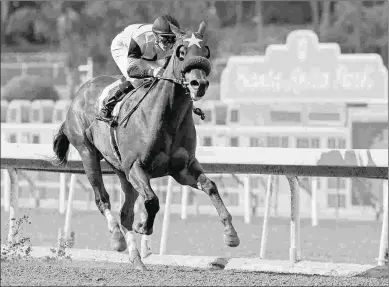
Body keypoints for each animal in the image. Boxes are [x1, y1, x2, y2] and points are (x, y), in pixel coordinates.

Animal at [51, 21, 239, 272]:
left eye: (206, 51)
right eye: (181, 52)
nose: (198, 84)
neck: (165, 116)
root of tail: (77, 96)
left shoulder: (182, 169)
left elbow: (211, 186)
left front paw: (231, 234)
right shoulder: (136, 167)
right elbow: (152, 200)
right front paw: (144, 226)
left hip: (121, 171)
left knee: (125, 213)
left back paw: (137, 260)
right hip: (87, 153)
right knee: (102, 198)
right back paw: (117, 239)